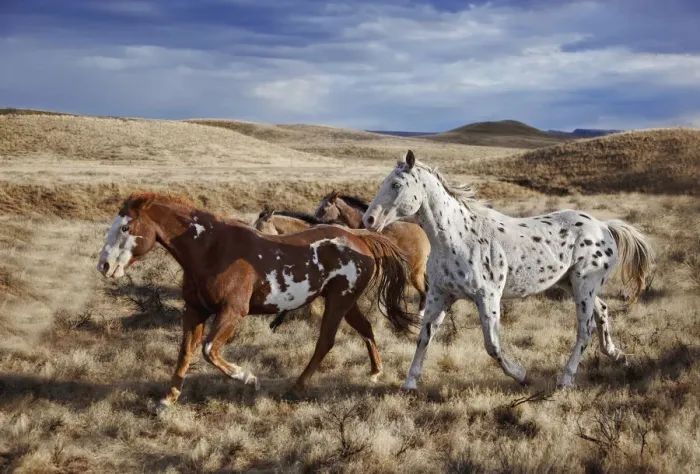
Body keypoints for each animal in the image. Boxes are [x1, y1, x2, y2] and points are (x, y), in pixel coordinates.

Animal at [96, 193, 417, 410]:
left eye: (125, 228)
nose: (104, 265)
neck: (211, 249)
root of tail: (360, 239)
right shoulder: (195, 310)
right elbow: (186, 352)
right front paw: (167, 399)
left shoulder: (232, 312)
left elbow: (209, 350)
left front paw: (249, 378)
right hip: (345, 301)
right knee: (365, 329)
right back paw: (375, 372)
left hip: (339, 301)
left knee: (326, 342)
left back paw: (297, 387)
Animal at [362, 150, 654, 391]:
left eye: (396, 184)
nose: (369, 219)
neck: (458, 237)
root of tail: (604, 227)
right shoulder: (440, 294)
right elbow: (425, 336)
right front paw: (410, 383)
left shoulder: (488, 297)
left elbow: (492, 345)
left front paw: (522, 374)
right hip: (571, 284)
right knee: (602, 310)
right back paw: (617, 355)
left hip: (585, 285)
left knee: (585, 329)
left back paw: (565, 379)